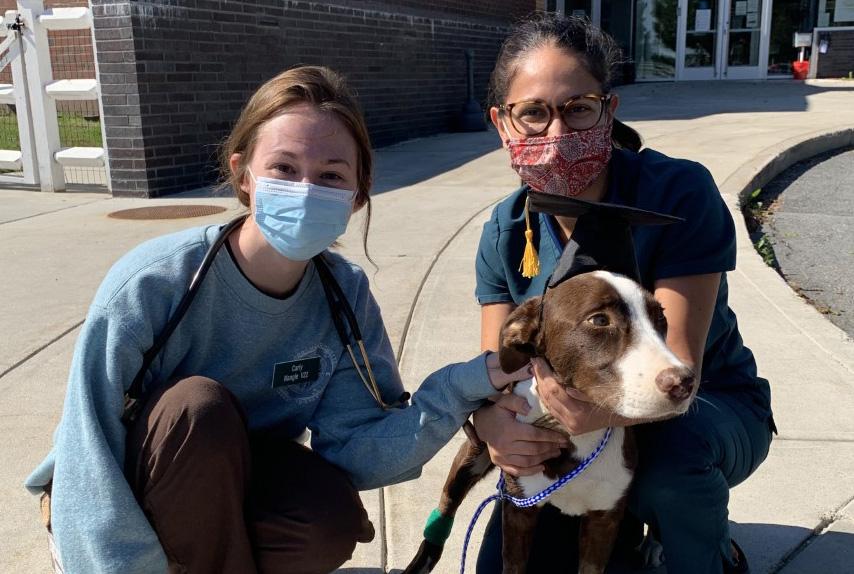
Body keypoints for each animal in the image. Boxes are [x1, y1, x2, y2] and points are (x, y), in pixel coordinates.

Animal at [404, 270, 700, 574]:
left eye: (661, 319)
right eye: (599, 320)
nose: (684, 383)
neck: (576, 439)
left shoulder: (604, 519)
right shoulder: (519, 509)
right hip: (473, 456)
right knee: (446, 506)